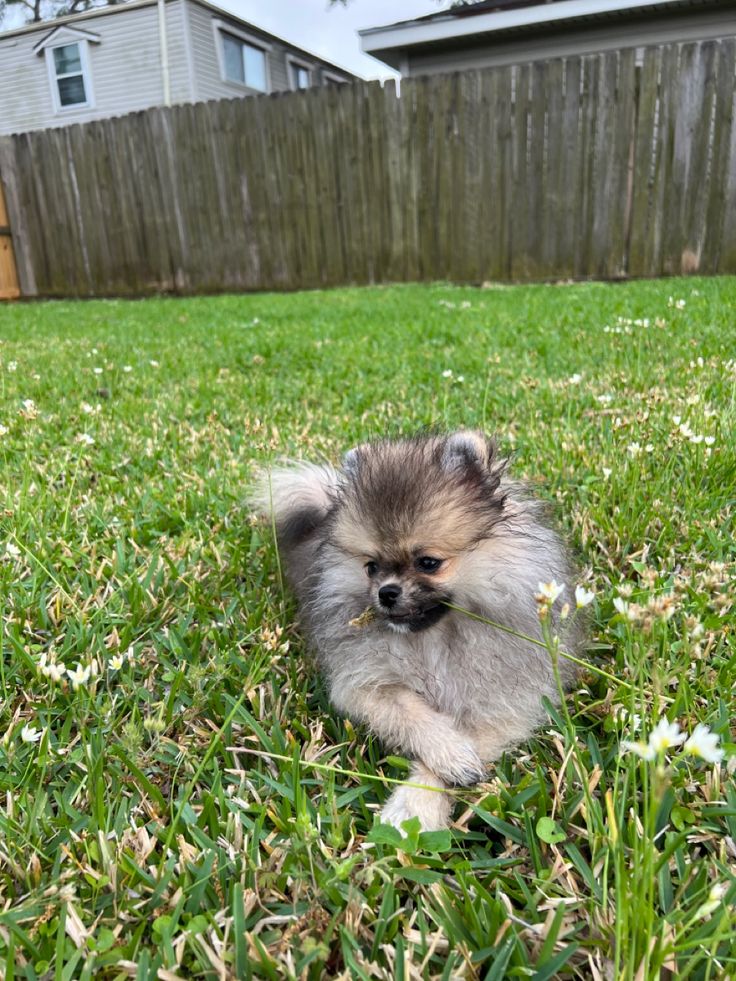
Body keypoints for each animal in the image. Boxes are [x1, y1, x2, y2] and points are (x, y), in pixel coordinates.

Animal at [256, 428, 584, 828]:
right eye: (371, 567)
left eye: (428, 562)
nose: (386, 593)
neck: (432, 640)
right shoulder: (366, 683)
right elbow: (411, 714)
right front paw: (448, 754)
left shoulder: (503, 703)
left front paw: (417, 804)